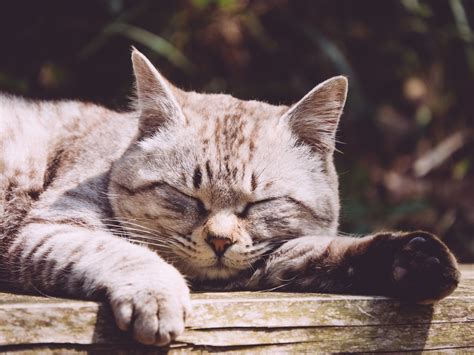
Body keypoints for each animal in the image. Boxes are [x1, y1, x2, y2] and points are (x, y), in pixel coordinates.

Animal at [0, 48, 460, 346]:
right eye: (188, 196)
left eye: (258, 204)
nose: (219, 241)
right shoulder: (52, 229)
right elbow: (124, 253)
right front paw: (158, 296)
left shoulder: (273, 259)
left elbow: (330, 252)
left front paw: (417, 259)